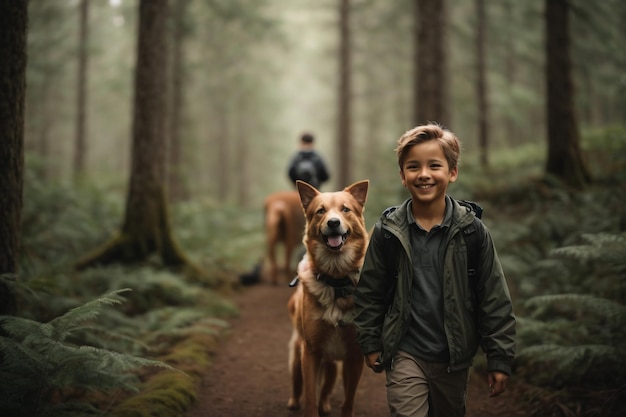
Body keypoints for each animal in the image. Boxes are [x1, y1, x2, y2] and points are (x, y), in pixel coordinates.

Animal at [286, 179, 368, 416]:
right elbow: (310, 397)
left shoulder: (355, 356)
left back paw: (326, 404)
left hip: (333, 366)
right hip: (298, 356)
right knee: (298, 382)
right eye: (320, 211)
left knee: (327, 387)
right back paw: (293, 401)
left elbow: (348, 400)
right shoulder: (311, 352)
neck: (336, 282)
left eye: (345, 209)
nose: (333, 222)